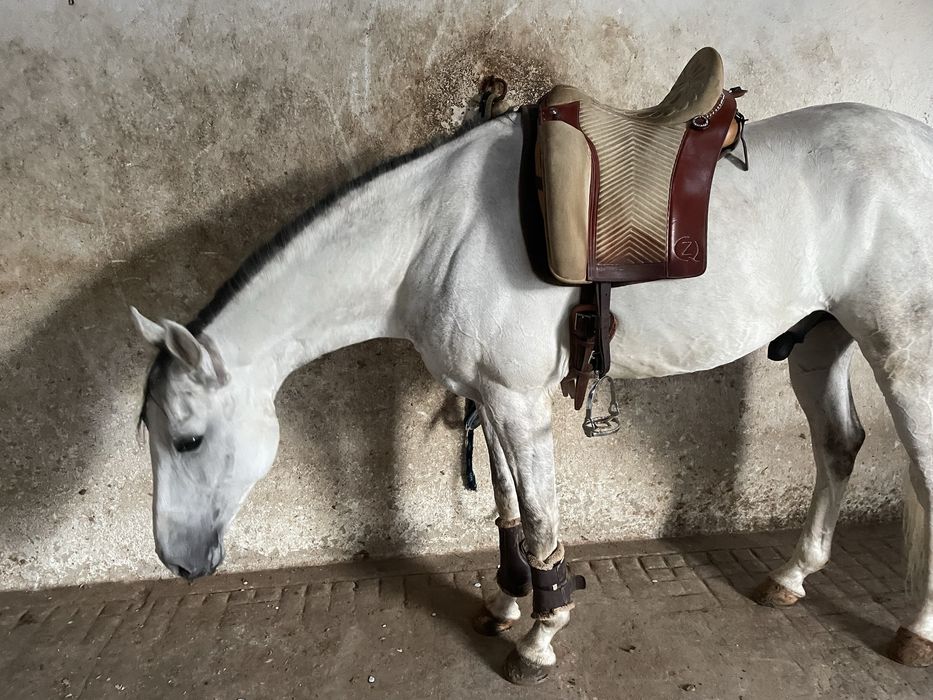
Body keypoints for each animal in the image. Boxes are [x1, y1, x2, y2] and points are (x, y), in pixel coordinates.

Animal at [131, 98, 933, 683]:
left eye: (188, 439)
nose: (177, 562)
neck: (433, 234)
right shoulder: (487, 399)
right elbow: (509, 513)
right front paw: (505, 602)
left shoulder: (519, 404)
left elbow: (542, 524)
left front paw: (539, 638)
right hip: (820, 345)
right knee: (839, 447)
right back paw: (792, 577)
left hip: (903, 357)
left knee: (921, 473)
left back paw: (914, 629)